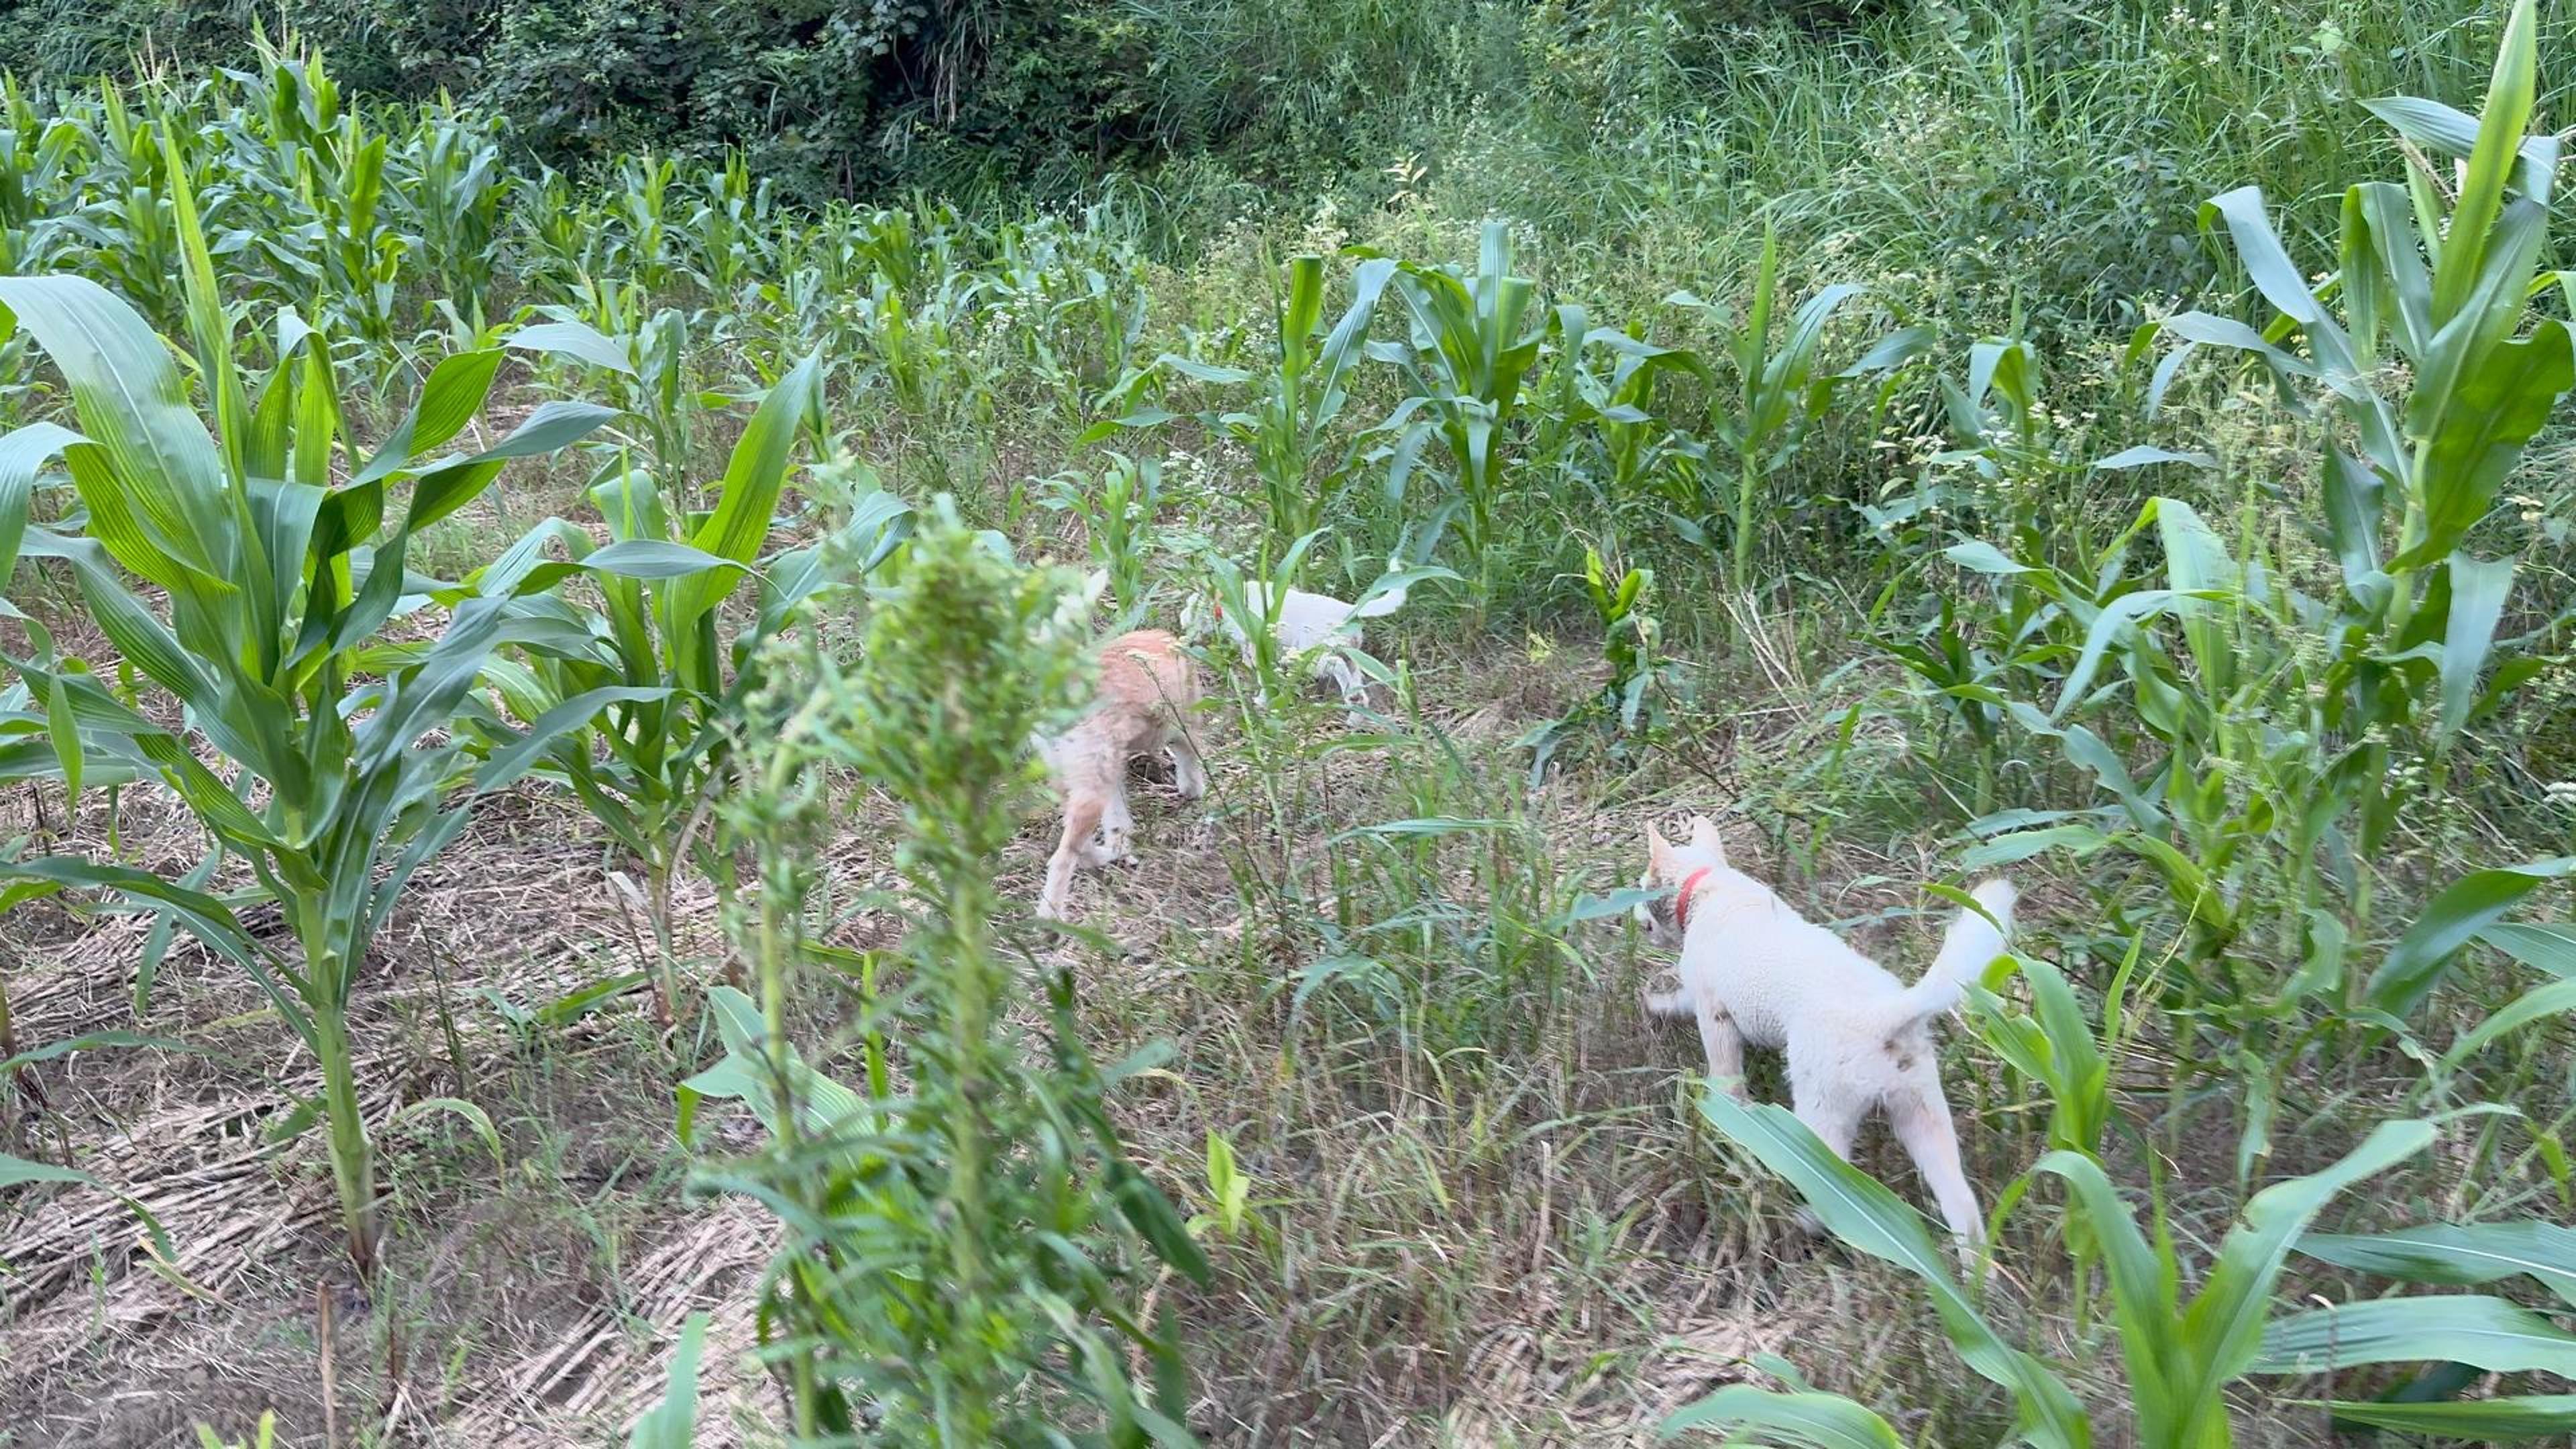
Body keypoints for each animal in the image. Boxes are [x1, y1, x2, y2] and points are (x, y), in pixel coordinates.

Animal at [1035, 629, 1205, 912]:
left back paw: (1109, 855)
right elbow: (1191, 764)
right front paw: (1194, 792)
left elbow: (1117, 821)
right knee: (1064, 856)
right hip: (1093, 786)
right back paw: (1049, 916)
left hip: (1077, 781)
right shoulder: (1185, 725)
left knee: (1089, 840)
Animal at [1627, 814, 2009, 1242]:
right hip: (1921, 1109)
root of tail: (1886, 1015)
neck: (1710, 888)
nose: (1632, 916)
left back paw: (1799, 1222)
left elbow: (1725, 1072)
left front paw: (1728, 1117)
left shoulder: (1715, 1015)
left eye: (1640, 886)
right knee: (1963, 1207)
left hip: (1823, 1111)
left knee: (1834, 1183)